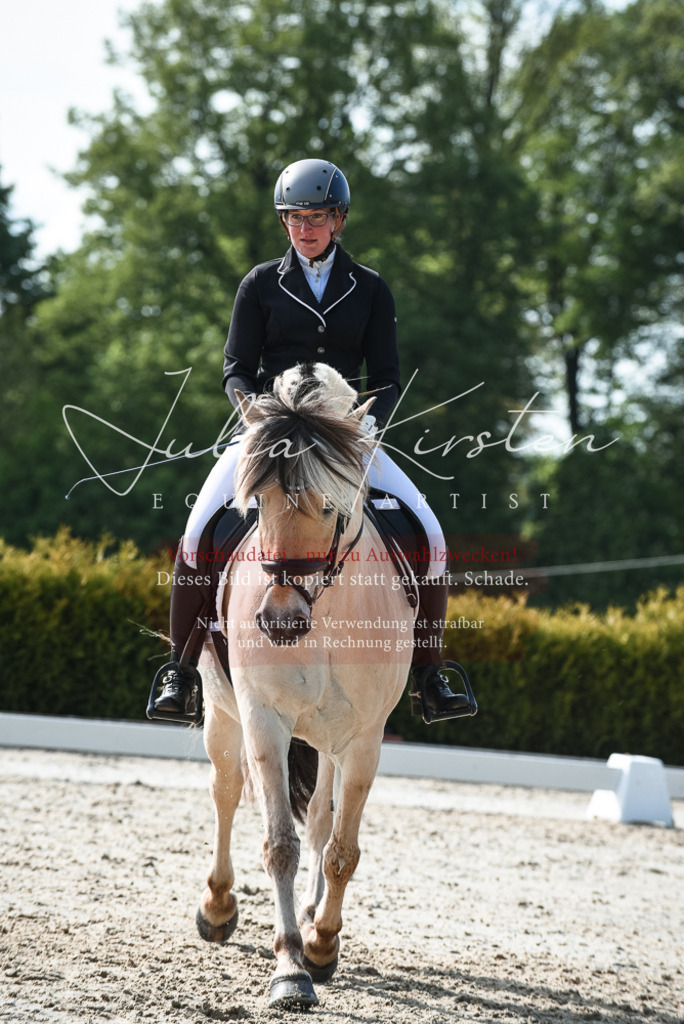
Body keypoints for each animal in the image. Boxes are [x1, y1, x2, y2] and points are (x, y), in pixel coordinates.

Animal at [194, 363, 418, 1009]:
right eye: (259, 501)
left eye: (329, 504)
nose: (280, 622)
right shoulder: (264, 718)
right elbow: (280, 844)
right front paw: (290, 967)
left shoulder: (366, 737)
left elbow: (341, 849)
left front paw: (321, 944)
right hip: (224, 712)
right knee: (225, 791)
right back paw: (217, 907)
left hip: (330, 740)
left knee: (321, 817)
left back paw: (317, 917)